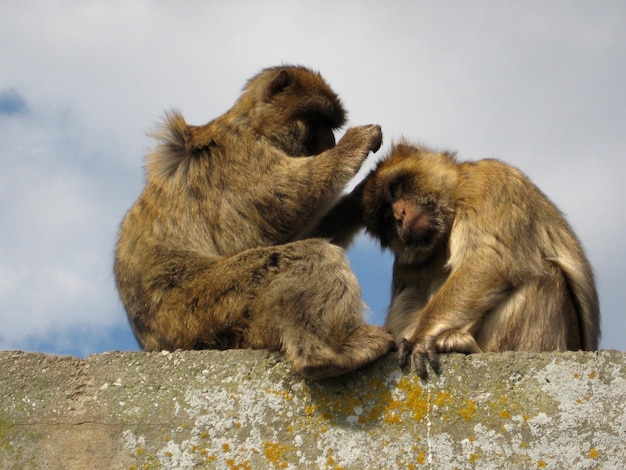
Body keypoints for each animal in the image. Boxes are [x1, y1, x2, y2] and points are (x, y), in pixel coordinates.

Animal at [114, 65, 392, 382]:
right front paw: (353, 145)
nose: (329, 144)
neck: (253, 127)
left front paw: (361, 199)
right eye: (317, 121)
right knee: (309, 255)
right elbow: (271, 217)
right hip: (202, 311)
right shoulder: (237, 157)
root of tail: (159, 343)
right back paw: (326, 356)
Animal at [360, 142, 600, 378]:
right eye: (385, 213)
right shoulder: (408, 260)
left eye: (395, 189)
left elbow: (490, 258)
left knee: (544, 276)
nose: (399, 215)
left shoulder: (487, 183)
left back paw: (473, 348)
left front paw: (421, 337)